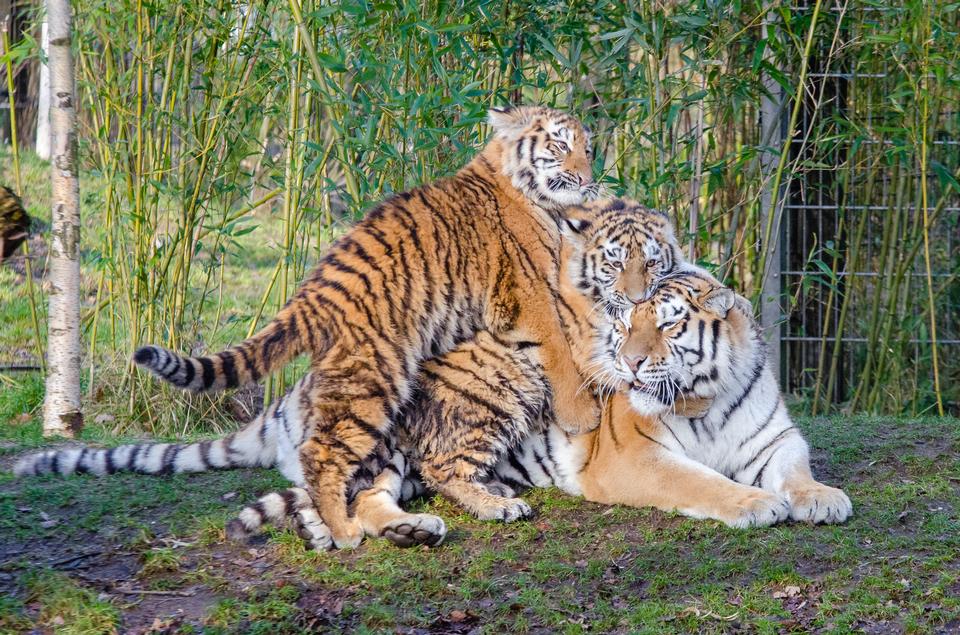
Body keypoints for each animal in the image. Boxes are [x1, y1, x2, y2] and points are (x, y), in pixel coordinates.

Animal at [129, 107, 600, 548]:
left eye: (588, 148)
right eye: (560, 144)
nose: (586, 179)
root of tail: (311, 294)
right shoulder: (531, 295)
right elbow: (559, 350)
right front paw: (584, 416)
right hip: (373, 380)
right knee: (321, 454)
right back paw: (343, 532)